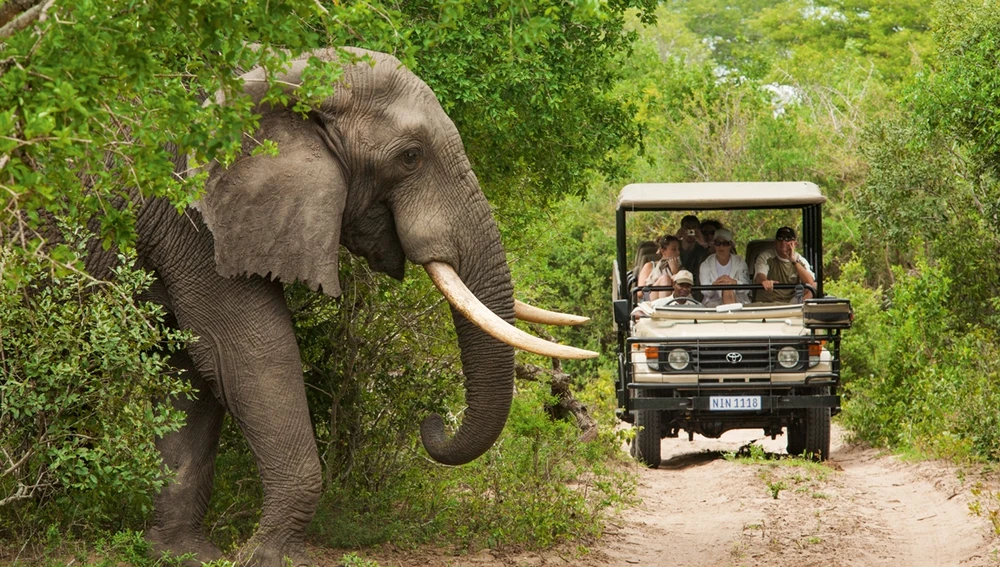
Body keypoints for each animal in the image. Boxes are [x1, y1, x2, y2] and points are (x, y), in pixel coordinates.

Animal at [70, 46, 592, 564]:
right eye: (410, 157)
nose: (433, 423)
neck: (281, 72)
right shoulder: (191, 214)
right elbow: (248, 351)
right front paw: (269, 558)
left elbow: (196, 367)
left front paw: (181, 554)